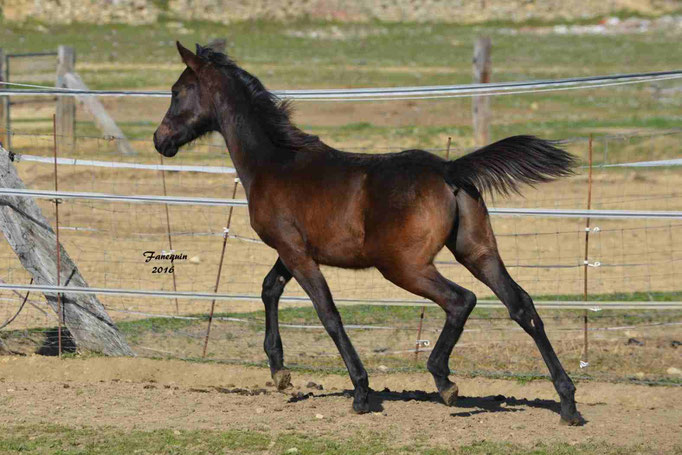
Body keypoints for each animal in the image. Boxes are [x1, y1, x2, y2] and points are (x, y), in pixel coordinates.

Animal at [153, 42, 580, 428]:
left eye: (177, 91)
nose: (160, 140)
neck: (275, 163)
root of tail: (449, 170)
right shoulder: (294, 250)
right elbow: (269, 288)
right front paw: (279, 372)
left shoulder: (295, 252)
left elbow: (327, 313)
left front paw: (360, 391)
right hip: (477, 252)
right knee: (521, 306)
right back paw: (568, 403)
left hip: (403, 266)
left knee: (462, 300)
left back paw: (444, 381)